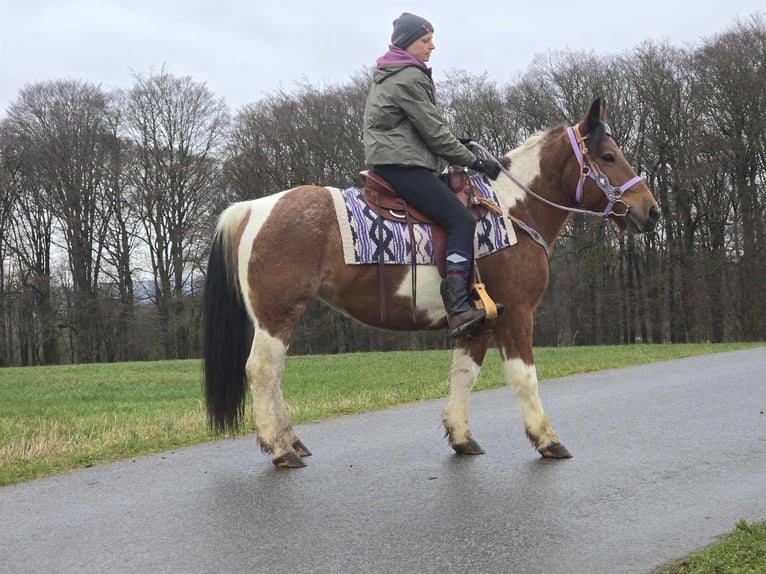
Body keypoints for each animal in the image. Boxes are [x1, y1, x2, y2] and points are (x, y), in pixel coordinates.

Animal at [202, 98, 660, 468]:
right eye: (608, 155)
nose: (651, 211)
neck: (512, 212)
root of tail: (253, 207)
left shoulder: (481, 320)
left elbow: (463, 375)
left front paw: (461, 436)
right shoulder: (517, 315)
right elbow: (524, 377)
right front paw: (547, 439)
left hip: (278, 317)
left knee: (274, 374)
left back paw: (290, 440)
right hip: (276, 313)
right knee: (262, 371)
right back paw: (279, 448)